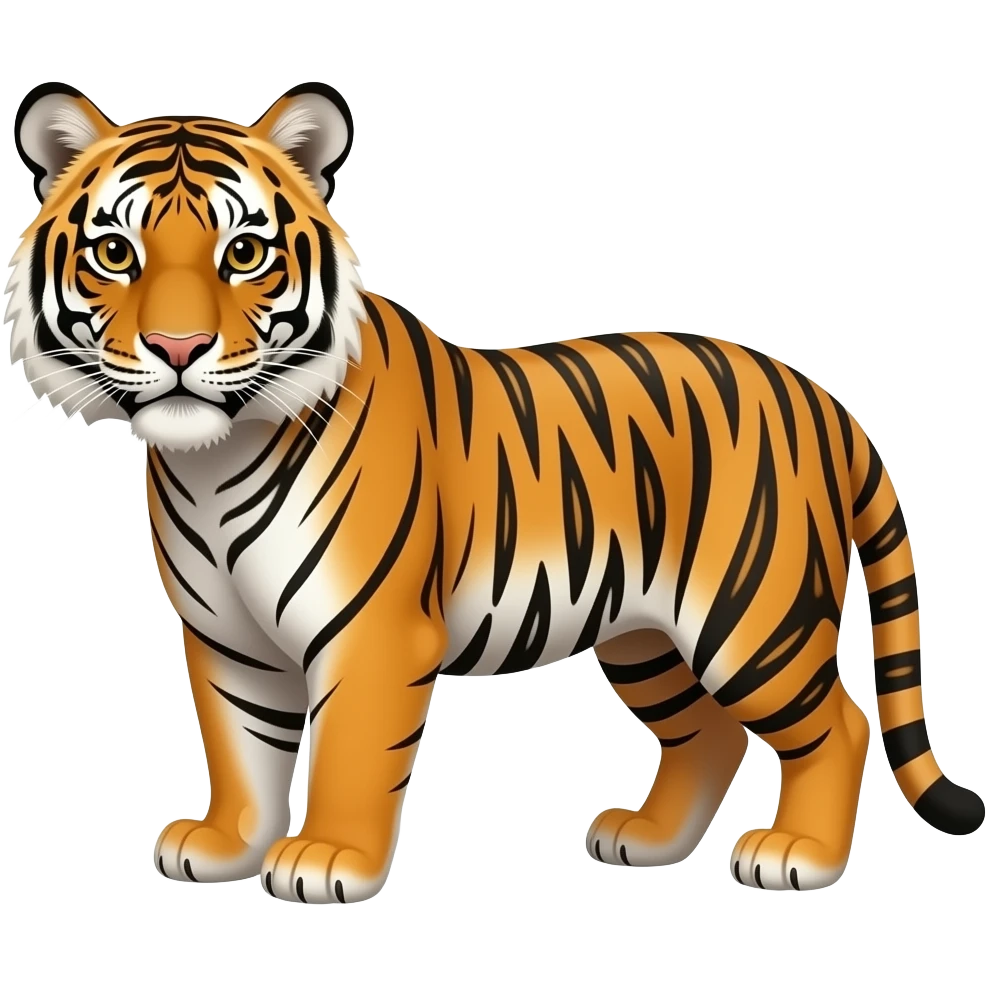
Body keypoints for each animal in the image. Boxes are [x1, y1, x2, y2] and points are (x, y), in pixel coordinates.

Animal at [6, 80, 982, 905]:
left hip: (750, 618)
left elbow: (350, 748)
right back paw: (647, 840)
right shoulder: (227, 639)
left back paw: (797, 856)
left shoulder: (371, 630)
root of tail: (821, 397)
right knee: (709, 734)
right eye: (115, 253)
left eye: (243, 253)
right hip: (645, 635)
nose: (177, 348)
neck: (210, 462)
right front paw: (225, 846)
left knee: (837, 725)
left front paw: (327, 859)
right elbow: (241, 747)